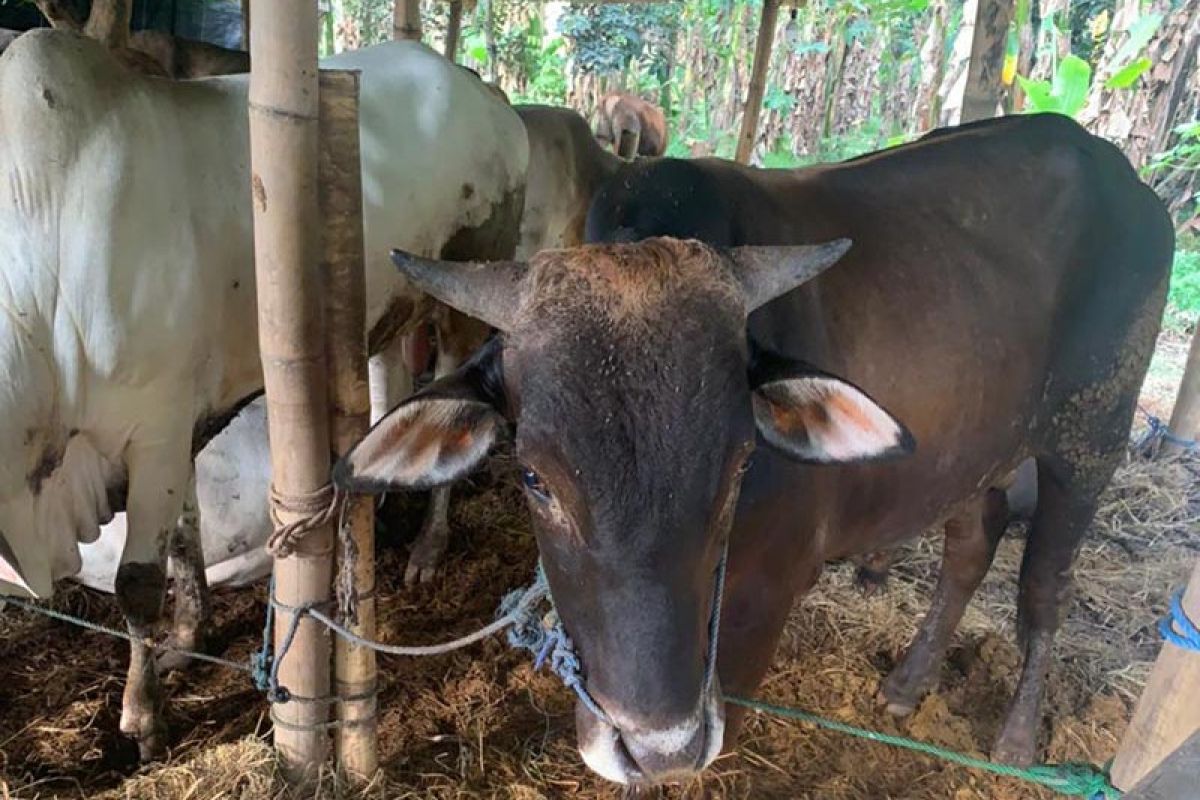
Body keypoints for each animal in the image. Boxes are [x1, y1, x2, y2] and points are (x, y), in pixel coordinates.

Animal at [0, 28, 525, 762]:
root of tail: (481, 87)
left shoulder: (156, 429)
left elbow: (138, 582)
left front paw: (143, 718)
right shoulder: (178, 426)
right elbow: (183, 538)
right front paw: (187, 641)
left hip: (463, 290)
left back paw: (427, 545)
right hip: (385, 306)